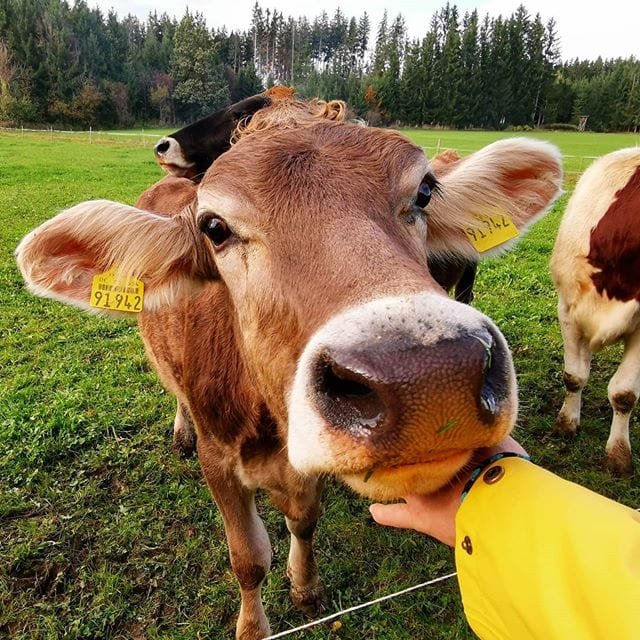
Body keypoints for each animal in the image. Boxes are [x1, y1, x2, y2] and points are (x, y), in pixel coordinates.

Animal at [17, 96, 564, 640]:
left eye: (425, 192)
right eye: (214, 228)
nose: (431, 377)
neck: (269, 427)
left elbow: (303, 522)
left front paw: (304, 585)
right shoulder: (219, 462)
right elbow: (248, 559)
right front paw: (253, 625)